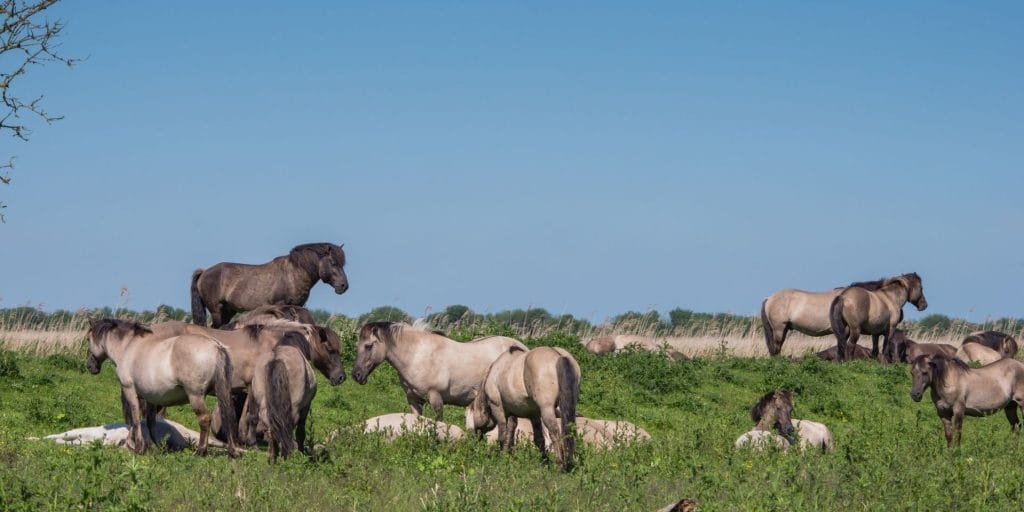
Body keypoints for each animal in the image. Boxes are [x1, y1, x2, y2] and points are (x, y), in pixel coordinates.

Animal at [85, 319, 239, 457]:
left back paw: (201, 451)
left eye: (88, 339)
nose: (90, 366)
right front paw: (157, 447)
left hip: (195, 396)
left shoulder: (130, 391)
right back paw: (232, 452)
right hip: (223, 392)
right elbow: (150, 423)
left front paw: (138, 447)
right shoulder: (150, 398)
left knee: (204, 419)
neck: (128, 348)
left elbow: (136, 420)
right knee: (228, 416)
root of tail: (216, 346)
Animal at [191, 242, 348, 327]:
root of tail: (204, 272)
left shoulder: (298, 306)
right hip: (216, 310)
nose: (344, 286)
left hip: (228, 311)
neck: (293, 273)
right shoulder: (281, 306)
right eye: (333, 262)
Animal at [247, 331, 317, 461]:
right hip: (294, 409)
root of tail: (277, 358)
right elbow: (300, 432)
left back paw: (272, 459)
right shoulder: (305, 407)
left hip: (264, 407)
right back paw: (286, 457)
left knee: (271, 429)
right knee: (287, 428)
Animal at [352, 321, 526, 420]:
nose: (356, 375)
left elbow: (439, 421)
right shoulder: (413, 400)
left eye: (368, 346)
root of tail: (522, 348)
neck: (417, 356)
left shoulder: (435, 398)